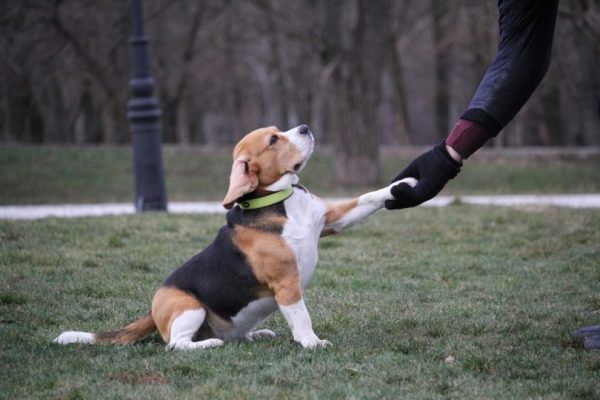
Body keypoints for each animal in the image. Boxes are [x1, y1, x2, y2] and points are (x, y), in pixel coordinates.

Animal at [54, 125, 414, 350]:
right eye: (273, 140)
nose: (305, 127)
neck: (281, 202)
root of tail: (152, 310)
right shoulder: (287, 282)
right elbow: (302, 316)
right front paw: (312, 343)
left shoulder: (331, 220)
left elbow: (367, 198)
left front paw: (402, 186)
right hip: (189, 307)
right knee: (175, 345)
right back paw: (208, 343)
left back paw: (256, 334)